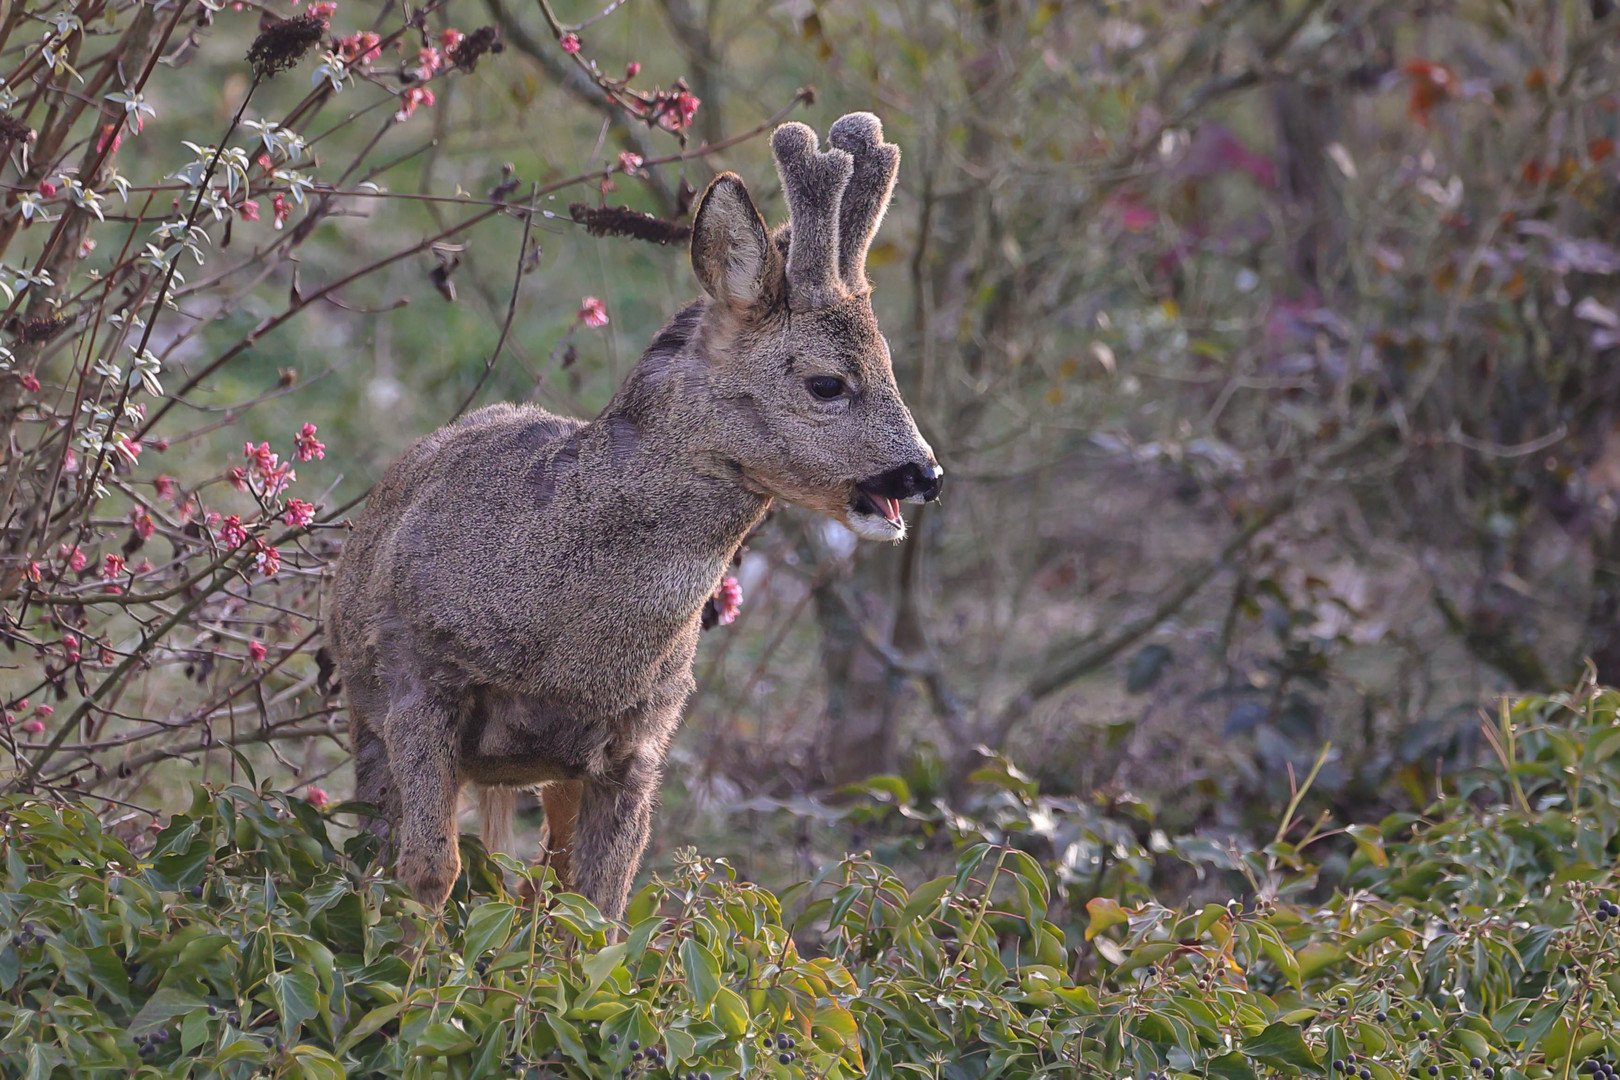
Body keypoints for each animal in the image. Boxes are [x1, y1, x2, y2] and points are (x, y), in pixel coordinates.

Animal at [325, 111, 939, 919]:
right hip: (365, 706)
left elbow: (597, 907)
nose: (925, 473)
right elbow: (429, 871)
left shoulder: (639, 742)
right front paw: (409, 953)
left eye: (893, 367)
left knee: (541, 883)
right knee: (369, 848)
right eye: (828, 383)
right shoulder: (420, 679)